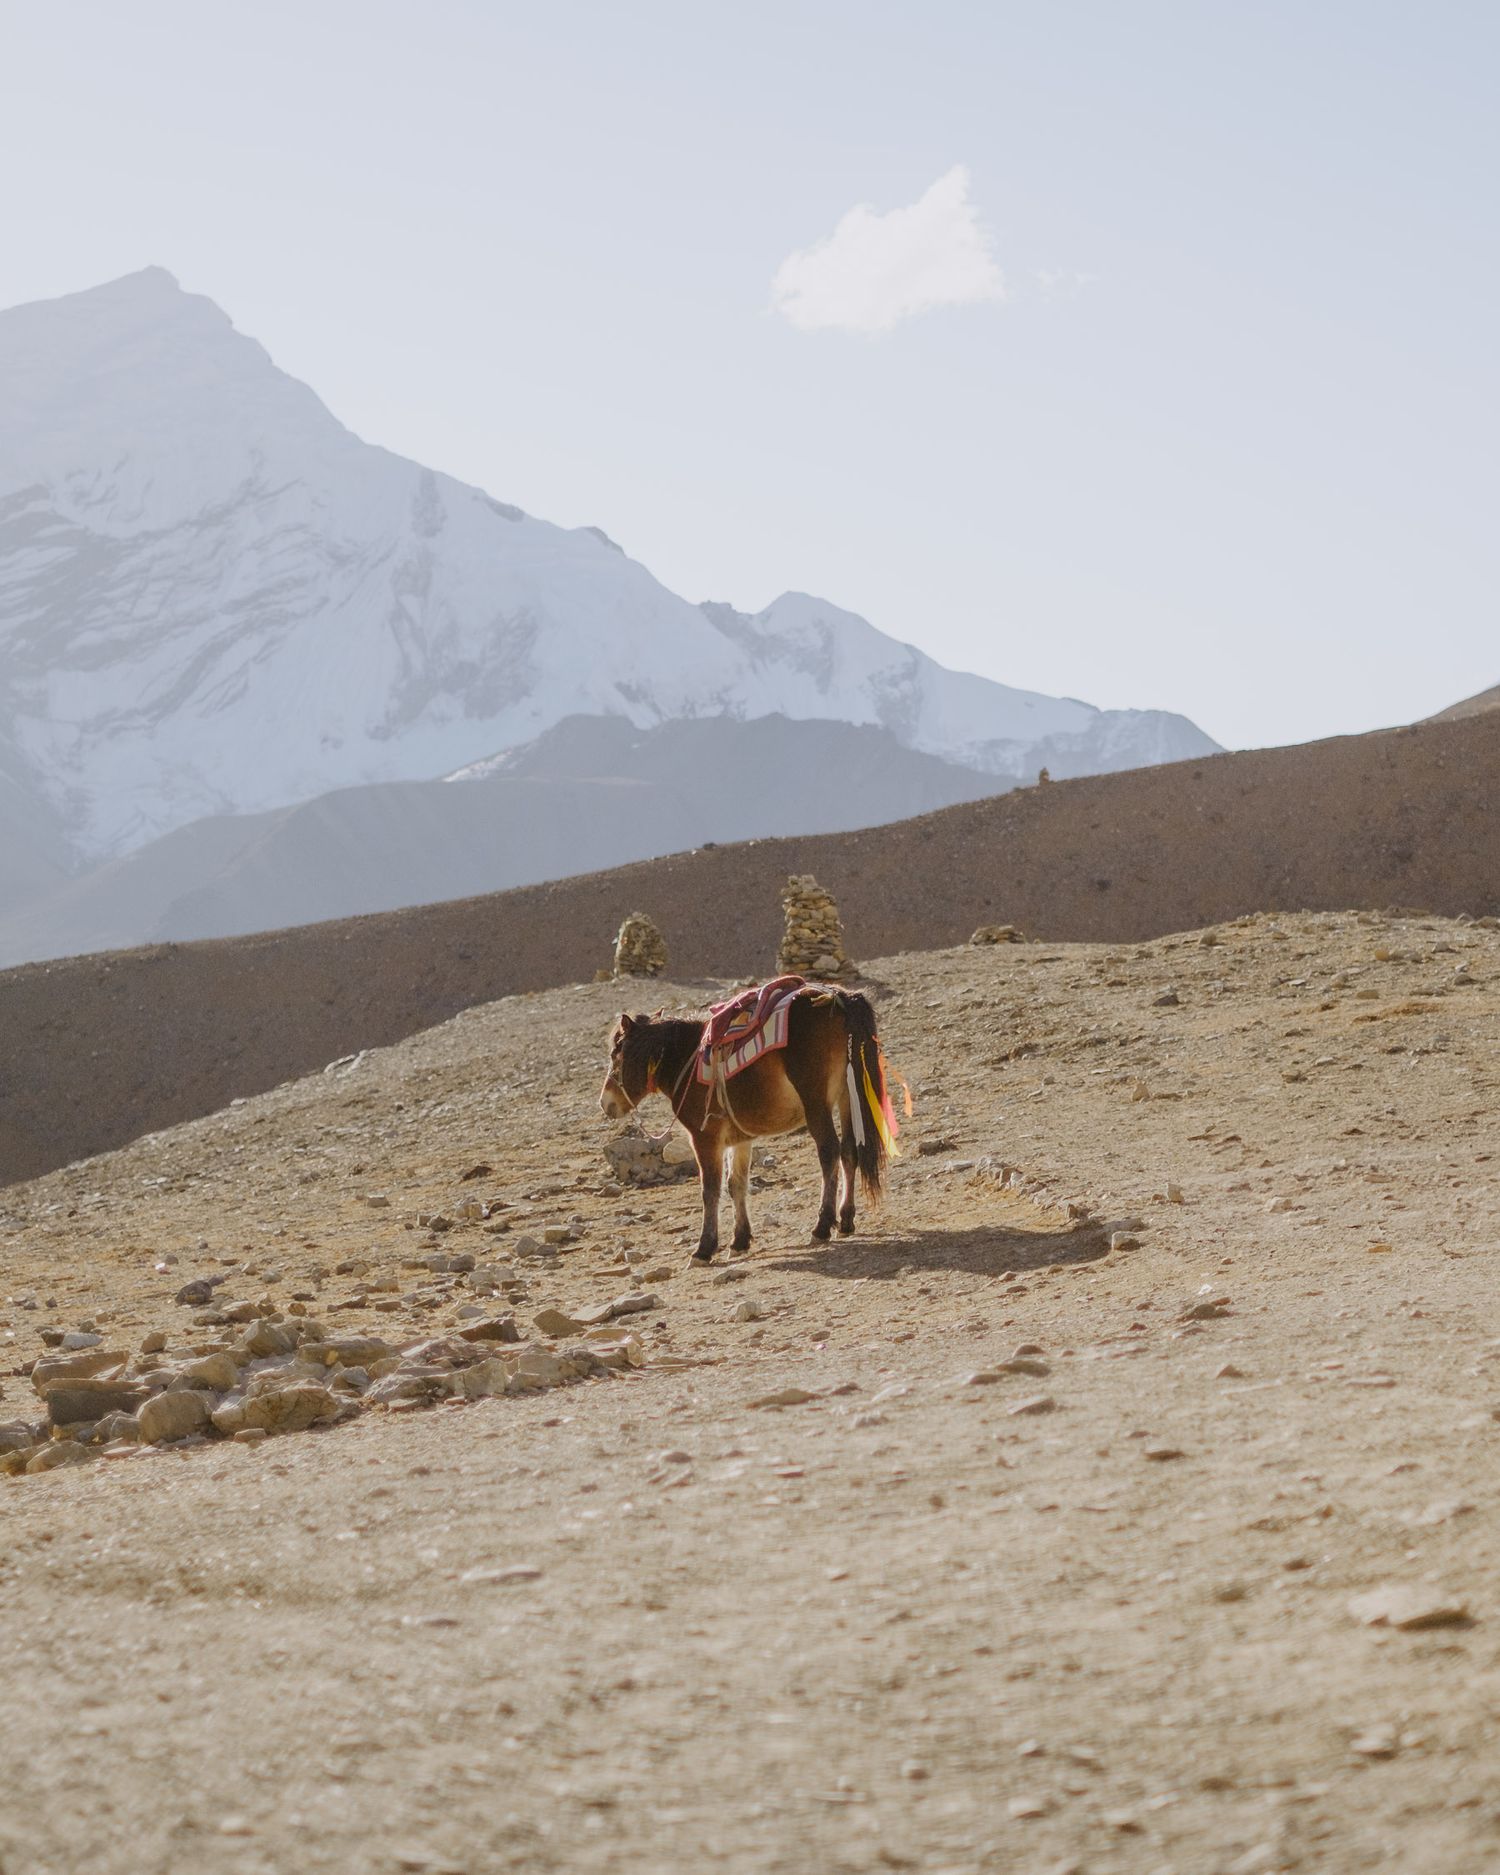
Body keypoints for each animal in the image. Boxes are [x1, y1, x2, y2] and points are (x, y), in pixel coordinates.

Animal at [599, 981, 894, 1261]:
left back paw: (822, 1226)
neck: (686, 1060)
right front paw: (739, 1241)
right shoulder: (739, 1139)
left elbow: (710, 1189)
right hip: (848, 1097)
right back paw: (846, 1221)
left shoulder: (704, 1138)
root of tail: (840, 998)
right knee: (849, 1151)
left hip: (817, 1104)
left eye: (616, 1054)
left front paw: (704, 1249)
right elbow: (736, 1184)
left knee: (830, 1152)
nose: (605, 1103)